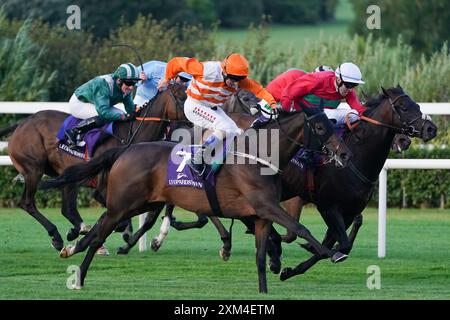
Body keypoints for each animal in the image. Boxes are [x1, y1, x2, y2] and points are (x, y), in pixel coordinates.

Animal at [0, 84, 186, 250]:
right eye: (182, 96)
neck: (132, 135)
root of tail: (22, 123)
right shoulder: (107, 187)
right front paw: (124, 233)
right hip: (34, 169)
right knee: (28, 203)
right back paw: (57, 236)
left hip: (61, 174)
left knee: (66, 209)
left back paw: (76, 231)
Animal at [41, 108, 352, 292]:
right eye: (320, 128)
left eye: (331, 124)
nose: (345, 153)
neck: (259, 158)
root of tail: (125, 150)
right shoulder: (267, 207)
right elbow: (301, 228)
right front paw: (332, 252)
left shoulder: (261, 215)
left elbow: (261, 256)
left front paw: (267, 286)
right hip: (123, 205)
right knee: (99, 235)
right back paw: (79, 275)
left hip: (139, 203)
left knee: (101, 225)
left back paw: (71, 248)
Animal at [278, 87, 436, 280]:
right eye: (404, 107)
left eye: (417, 105)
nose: (431, 129)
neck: (356, 157)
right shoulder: (327, 206)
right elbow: (336, 243)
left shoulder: (350, 211)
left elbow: (336, 244)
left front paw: (291, 269)